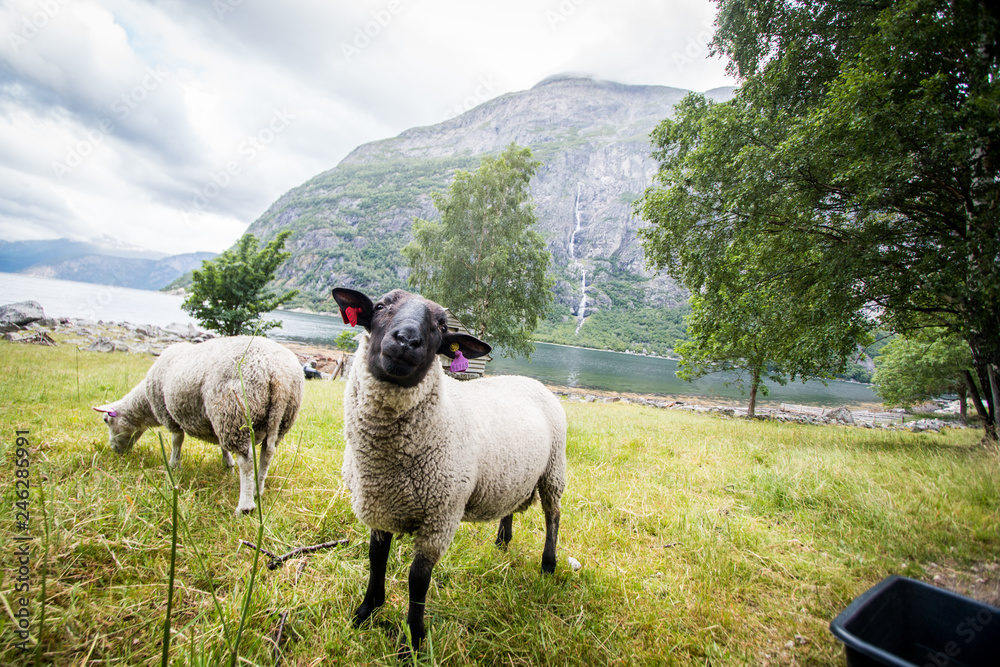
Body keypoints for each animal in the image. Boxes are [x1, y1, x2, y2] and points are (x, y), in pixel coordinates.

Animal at [93, 336, 304, 515]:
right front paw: (227, 462)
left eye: (106, 420)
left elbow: (177, 440)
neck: (146, 403)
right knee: (266, 454)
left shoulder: (170, 415)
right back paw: (257, 491)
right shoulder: (215, 421)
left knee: (247, 461)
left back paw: (245, 505)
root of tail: (279, 375)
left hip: (236, 411)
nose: (116, 451)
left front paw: (173, 465)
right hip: (278, 418)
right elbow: (221, 446)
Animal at [331, 287, 567, 655]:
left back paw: (548, 565)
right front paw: (366, 612)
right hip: (513, 474)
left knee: (552, 516)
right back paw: (502, 543)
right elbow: (376, 559)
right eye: (381, 306)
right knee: (511, 507)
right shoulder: (379, 507)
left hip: (554, 470)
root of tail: (531, 380)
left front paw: (412, 641)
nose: (406, 340)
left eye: (442, 326)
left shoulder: (440, 518)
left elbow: (418, 581)